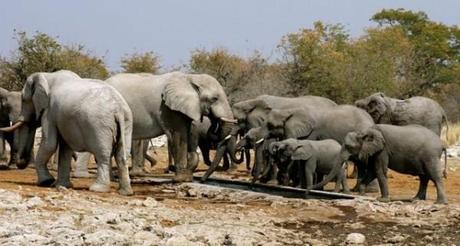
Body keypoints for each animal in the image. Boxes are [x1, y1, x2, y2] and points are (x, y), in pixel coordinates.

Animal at [1, 70, 135, 195]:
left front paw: (46, 182)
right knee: (122, 154)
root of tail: (118, 108)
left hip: (100, 126)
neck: (48, 75)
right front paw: (62, 185)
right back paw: (125, 192)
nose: (21, 164)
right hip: (127, 122)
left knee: (103, 155)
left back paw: (98, 189)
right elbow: (65, 148)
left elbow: (49, 144)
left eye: (24, 100)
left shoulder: (50, 112)